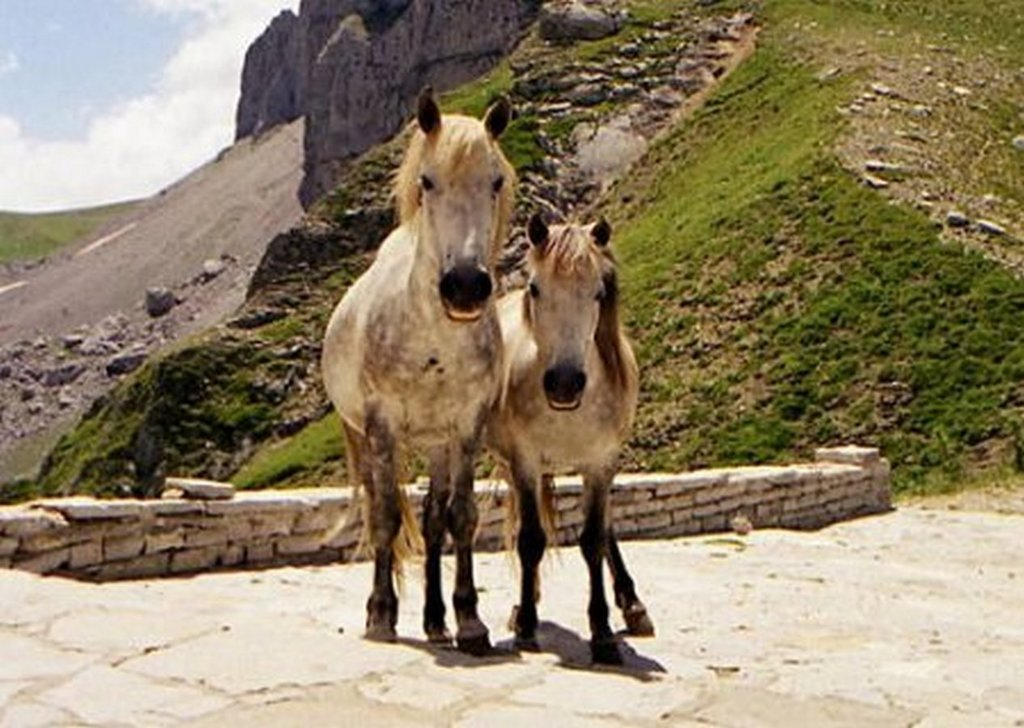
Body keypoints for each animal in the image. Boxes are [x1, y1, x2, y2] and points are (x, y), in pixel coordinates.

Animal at [321, 87, 516, 655]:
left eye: (495, 180)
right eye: (427, 181)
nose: (466, 287)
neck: (433, 340)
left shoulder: (466, 427)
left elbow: (460, 517)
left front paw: (469, 620)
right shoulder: (382, 426)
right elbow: (386, 517)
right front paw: (382, 614)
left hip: (435, 443)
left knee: (432, 522)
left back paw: (435, 620)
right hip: (368, 438)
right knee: (378, 509)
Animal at [483, 213, 651, 663]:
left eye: (598, 292)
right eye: (535, 288)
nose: (563, 383)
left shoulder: (601, 462)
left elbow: (594, 538)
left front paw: (603, 632)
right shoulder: (524, 460)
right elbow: (529, 539)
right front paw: (526, 624)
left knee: (603, 527)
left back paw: (632, 604)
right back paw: (526, 604)